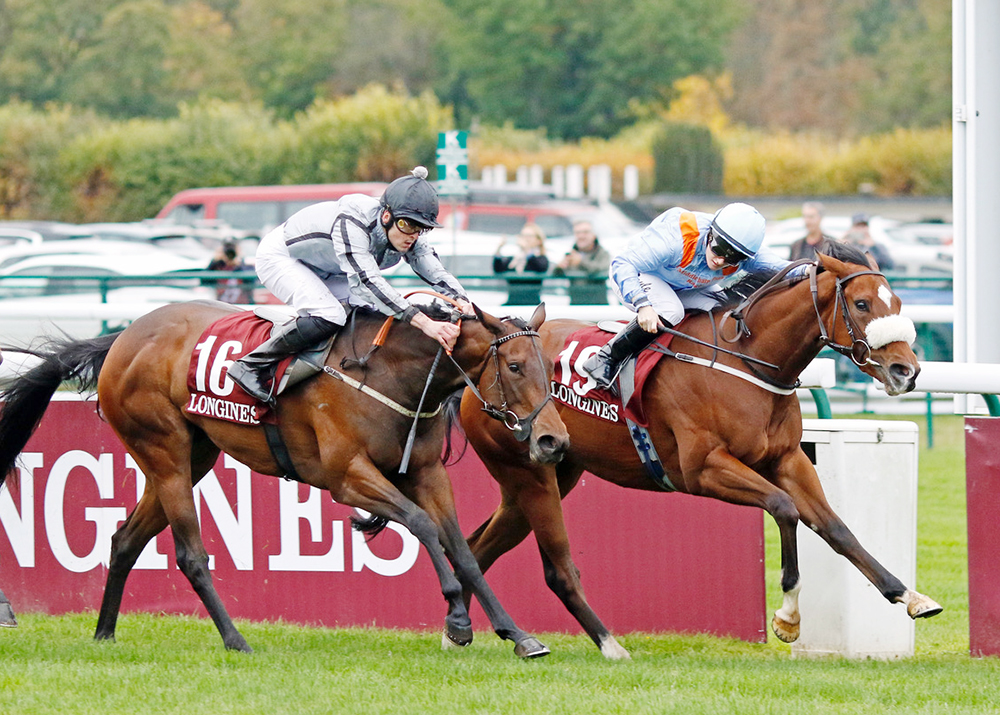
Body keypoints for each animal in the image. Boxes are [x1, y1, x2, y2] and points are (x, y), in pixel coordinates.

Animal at [0, 300, 568, 656]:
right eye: (515, 366)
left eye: (550, 365)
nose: (552, 441)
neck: (392, 374)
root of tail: (123, 336)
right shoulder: (348, 477)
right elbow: (424, 527)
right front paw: (457, 619)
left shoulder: (427, 475)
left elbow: (465, 551)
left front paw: (517, 635)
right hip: (164, 451)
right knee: (189, 554)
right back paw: (236, 640)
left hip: (192, 456)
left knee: (123, 540)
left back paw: (104, 634)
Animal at [458, 245, 940, 660]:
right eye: (861, 304)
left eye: (897, 300)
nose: (907, 371)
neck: (745, 360)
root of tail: (478, 371)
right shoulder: (703, 469)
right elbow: (784, 508)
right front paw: (787, 618)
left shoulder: (788, 459)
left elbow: (837, 528)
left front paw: (910, 596)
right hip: (530, 474)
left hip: (553, 475)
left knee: (478, 546)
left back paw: (461, 631)